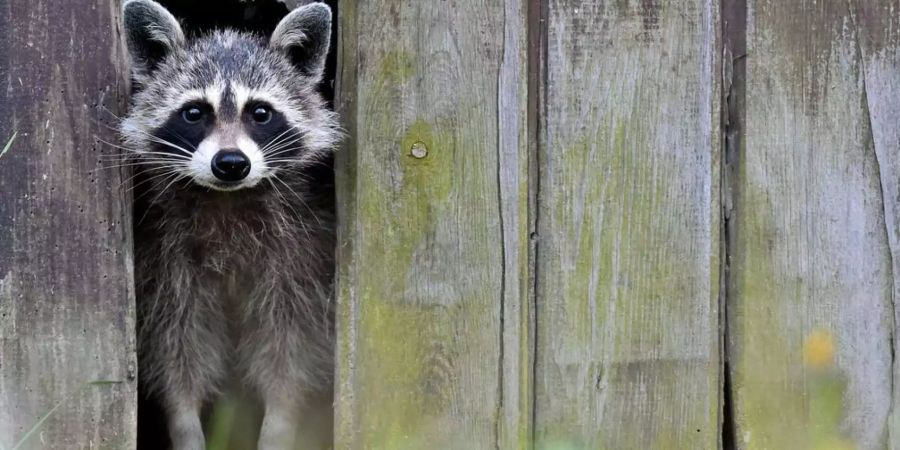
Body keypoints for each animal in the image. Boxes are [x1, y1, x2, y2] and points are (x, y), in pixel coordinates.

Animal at [119, 1, 338, 448]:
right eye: (193, 112)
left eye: (260, 112)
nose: (232, 163)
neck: (227, 198)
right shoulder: (165, 261)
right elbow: (176, 345)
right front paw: (183, 420)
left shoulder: (301, 254)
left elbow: (290, 346)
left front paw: (280, 421)